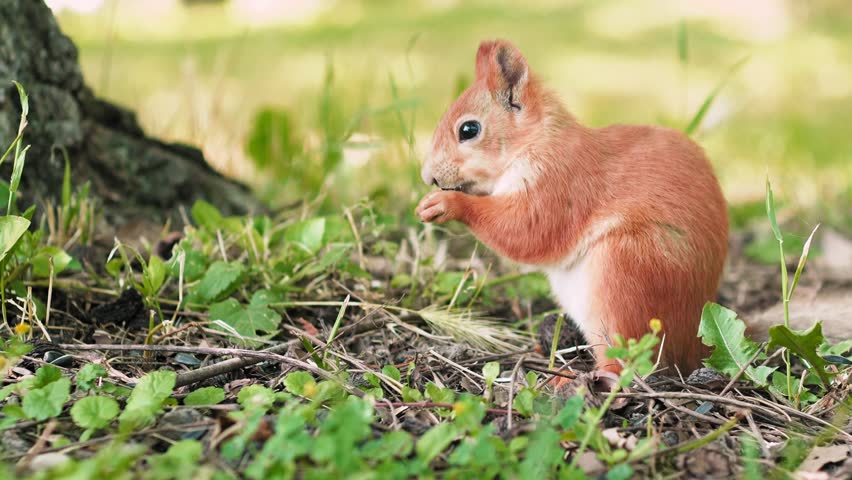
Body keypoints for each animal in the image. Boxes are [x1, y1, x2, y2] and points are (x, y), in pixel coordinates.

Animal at [415, 39, 729, 376]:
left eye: (469, 130)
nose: (428, 176)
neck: (537, 141)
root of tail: (692, 348)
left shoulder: (559, 186)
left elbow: (525, 231)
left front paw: (448, 204)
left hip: (624, 278)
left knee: (625, 361)